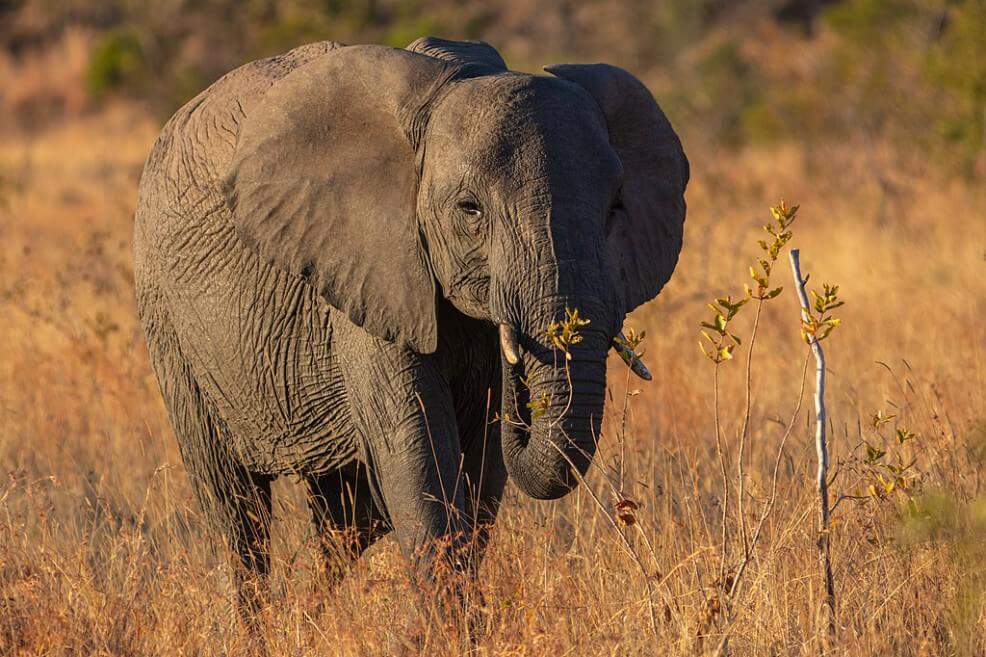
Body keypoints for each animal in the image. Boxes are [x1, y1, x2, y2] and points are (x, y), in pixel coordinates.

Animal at [133, 37, 688, 617]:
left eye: (616, 208)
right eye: (470, 209)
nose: (522, 387)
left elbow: (478, 468)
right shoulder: (370, 265)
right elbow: (418, 451)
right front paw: (455, 628)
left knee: (346, 520)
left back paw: (305, 613)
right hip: (167, 319)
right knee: (235, 509)